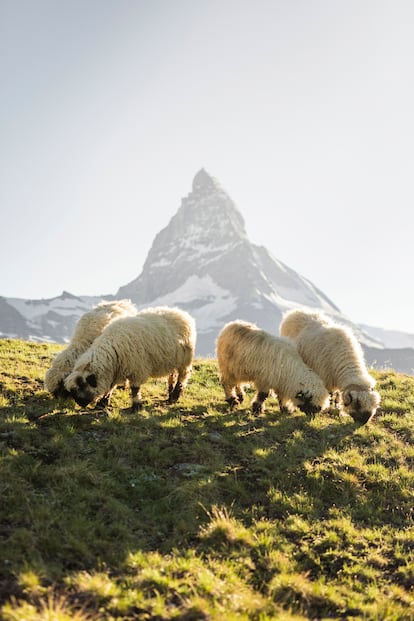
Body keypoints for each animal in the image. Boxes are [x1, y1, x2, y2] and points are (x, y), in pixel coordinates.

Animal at [63, 306, 196, 412]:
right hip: (174, 360)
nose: (79, 404)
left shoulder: (136, 369)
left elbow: (135, 389)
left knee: (182, 377)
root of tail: (181, 313)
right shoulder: (116, 370)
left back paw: (175, 396)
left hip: (184, 360)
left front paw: (136, 406)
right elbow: (110, 388)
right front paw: (102, 403)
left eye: (82, 385)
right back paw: (170, 395)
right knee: (172, 376)